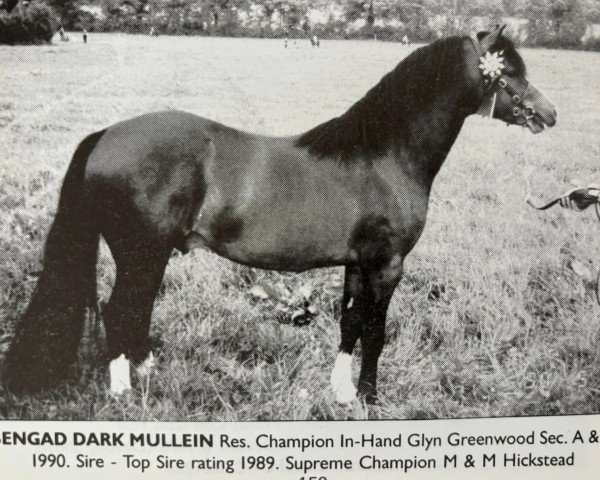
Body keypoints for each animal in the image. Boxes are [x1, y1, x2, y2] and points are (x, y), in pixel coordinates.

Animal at [4, 25, 556, 402]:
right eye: (509, 72)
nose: (550, 115)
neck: (382, 156)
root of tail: (108, 135)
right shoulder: (387, 266)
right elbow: (376, 334)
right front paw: (370, 399)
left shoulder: (358, 264)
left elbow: (350, 325)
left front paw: (341, 392)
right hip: (143, 253)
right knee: (120, 311)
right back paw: (123, 392)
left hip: (147, 257)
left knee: (133, 311)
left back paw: (145, 373)